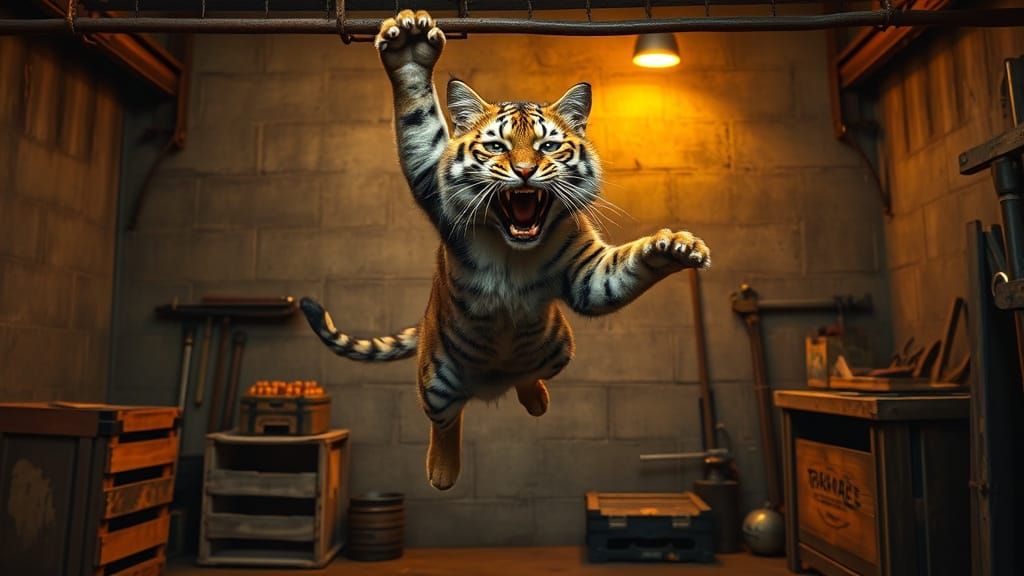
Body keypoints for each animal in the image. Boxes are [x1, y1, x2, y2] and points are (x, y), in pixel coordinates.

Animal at [300, 10, 711, 491]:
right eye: (496, 146)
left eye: (548, 146)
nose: (525, 171)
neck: (513, 246)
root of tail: (490, 384)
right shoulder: (433, 184)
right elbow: (419, 122)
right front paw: (410, 50)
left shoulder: (587, 273)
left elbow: (622, 269)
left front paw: (676, 246)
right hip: (435, 382)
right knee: (445, 420)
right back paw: (441, 473)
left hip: (557, 349)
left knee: (526, 378)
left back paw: (536, 401)